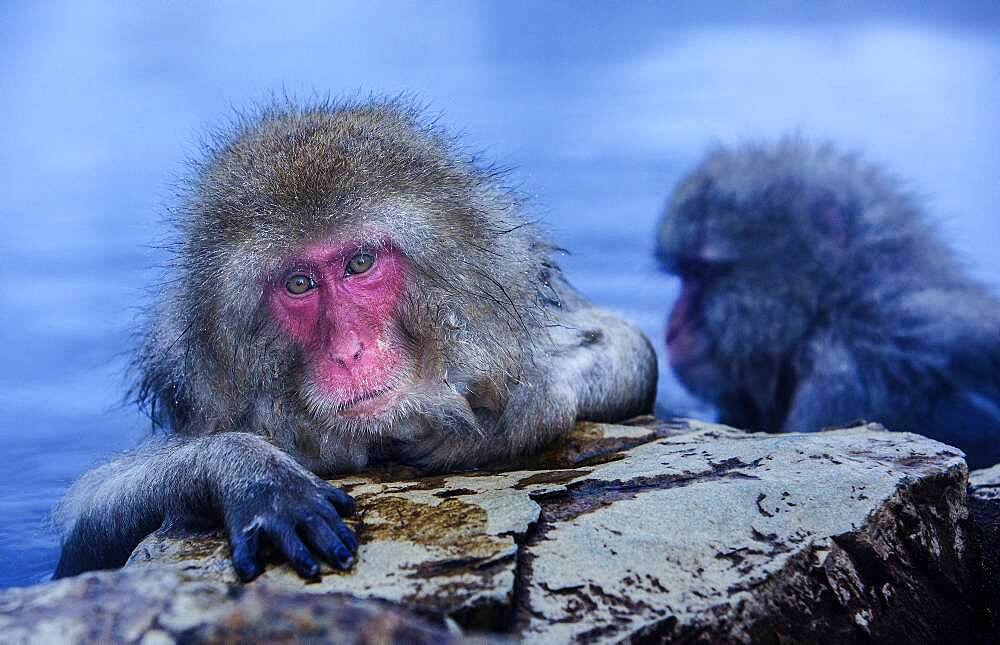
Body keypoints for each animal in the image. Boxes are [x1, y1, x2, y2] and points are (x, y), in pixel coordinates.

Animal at [58, 98, 660, 580]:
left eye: (360, 263)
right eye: (299, 284)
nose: (349, 352)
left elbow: (634, 352)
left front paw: (519, 409)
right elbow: (85, 535)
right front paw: (248, 474)